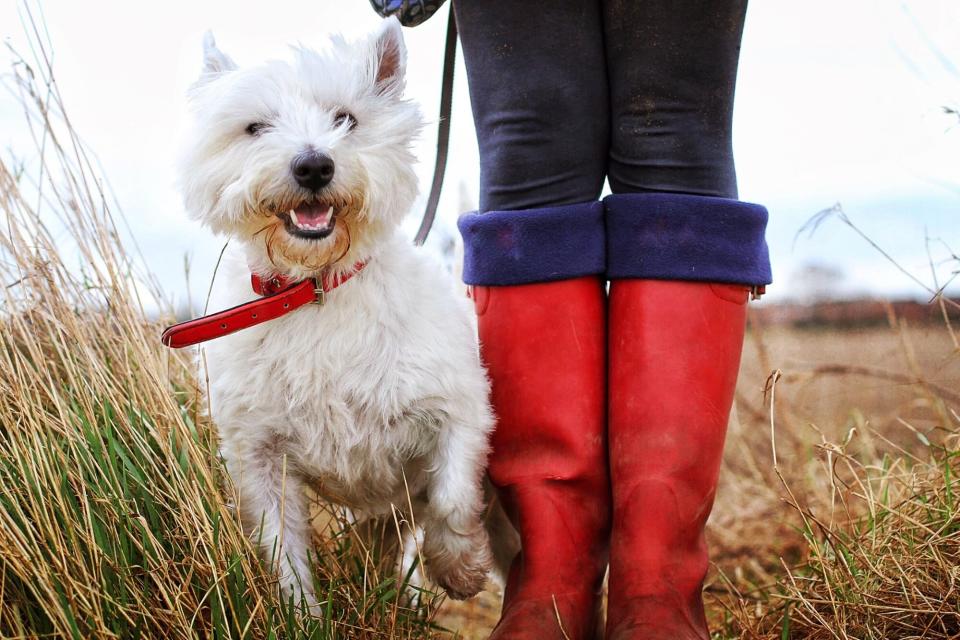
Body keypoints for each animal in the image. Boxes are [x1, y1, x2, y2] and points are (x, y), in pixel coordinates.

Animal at [176, 15, 498, 604]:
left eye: (346, 119)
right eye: (256, 128)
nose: (313, 166)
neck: (316, 289)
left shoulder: (458, 408)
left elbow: (452, 497)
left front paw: (460, 568)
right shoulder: (259, 454)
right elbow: (281, 550)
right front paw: (301, 613)